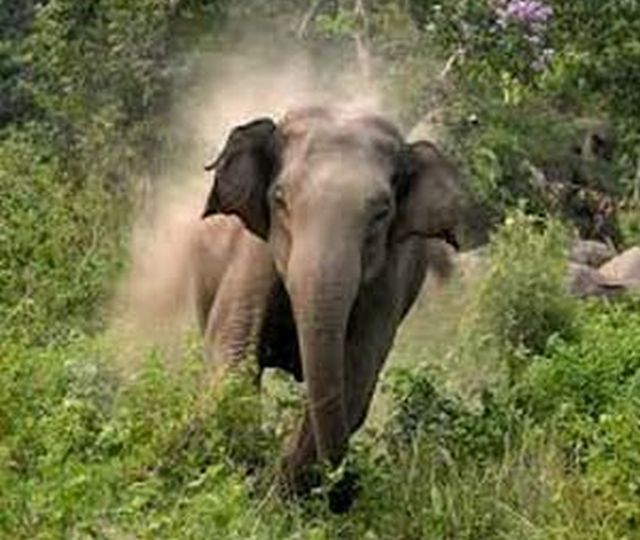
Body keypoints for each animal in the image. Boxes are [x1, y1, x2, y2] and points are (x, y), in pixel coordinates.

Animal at [195, 106, 463, 506]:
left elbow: (354, 376)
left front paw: (279, 497)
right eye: (280, 200)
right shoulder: (252, 254)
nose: (347, 491)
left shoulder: (389, 279)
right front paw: (244, 479)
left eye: (382, 212)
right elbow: (234, 354)